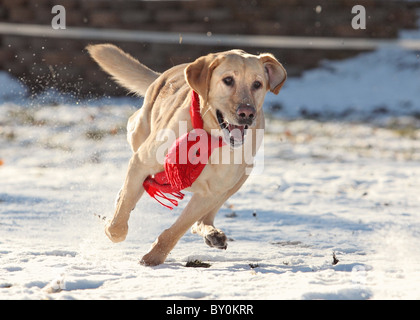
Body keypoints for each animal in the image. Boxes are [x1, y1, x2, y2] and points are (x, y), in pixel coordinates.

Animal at [87, 44, 288, 264]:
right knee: (130, 189)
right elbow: (120, 218)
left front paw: (153, 258)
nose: (247, 113)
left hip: (239, 179)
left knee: (201, 220)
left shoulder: (210, 193)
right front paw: (113, 229)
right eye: (228, 80)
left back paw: (211, 232)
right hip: (138, 132)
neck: (209, 135)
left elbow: (177, 230)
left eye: (257, 84)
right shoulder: (141, 162)